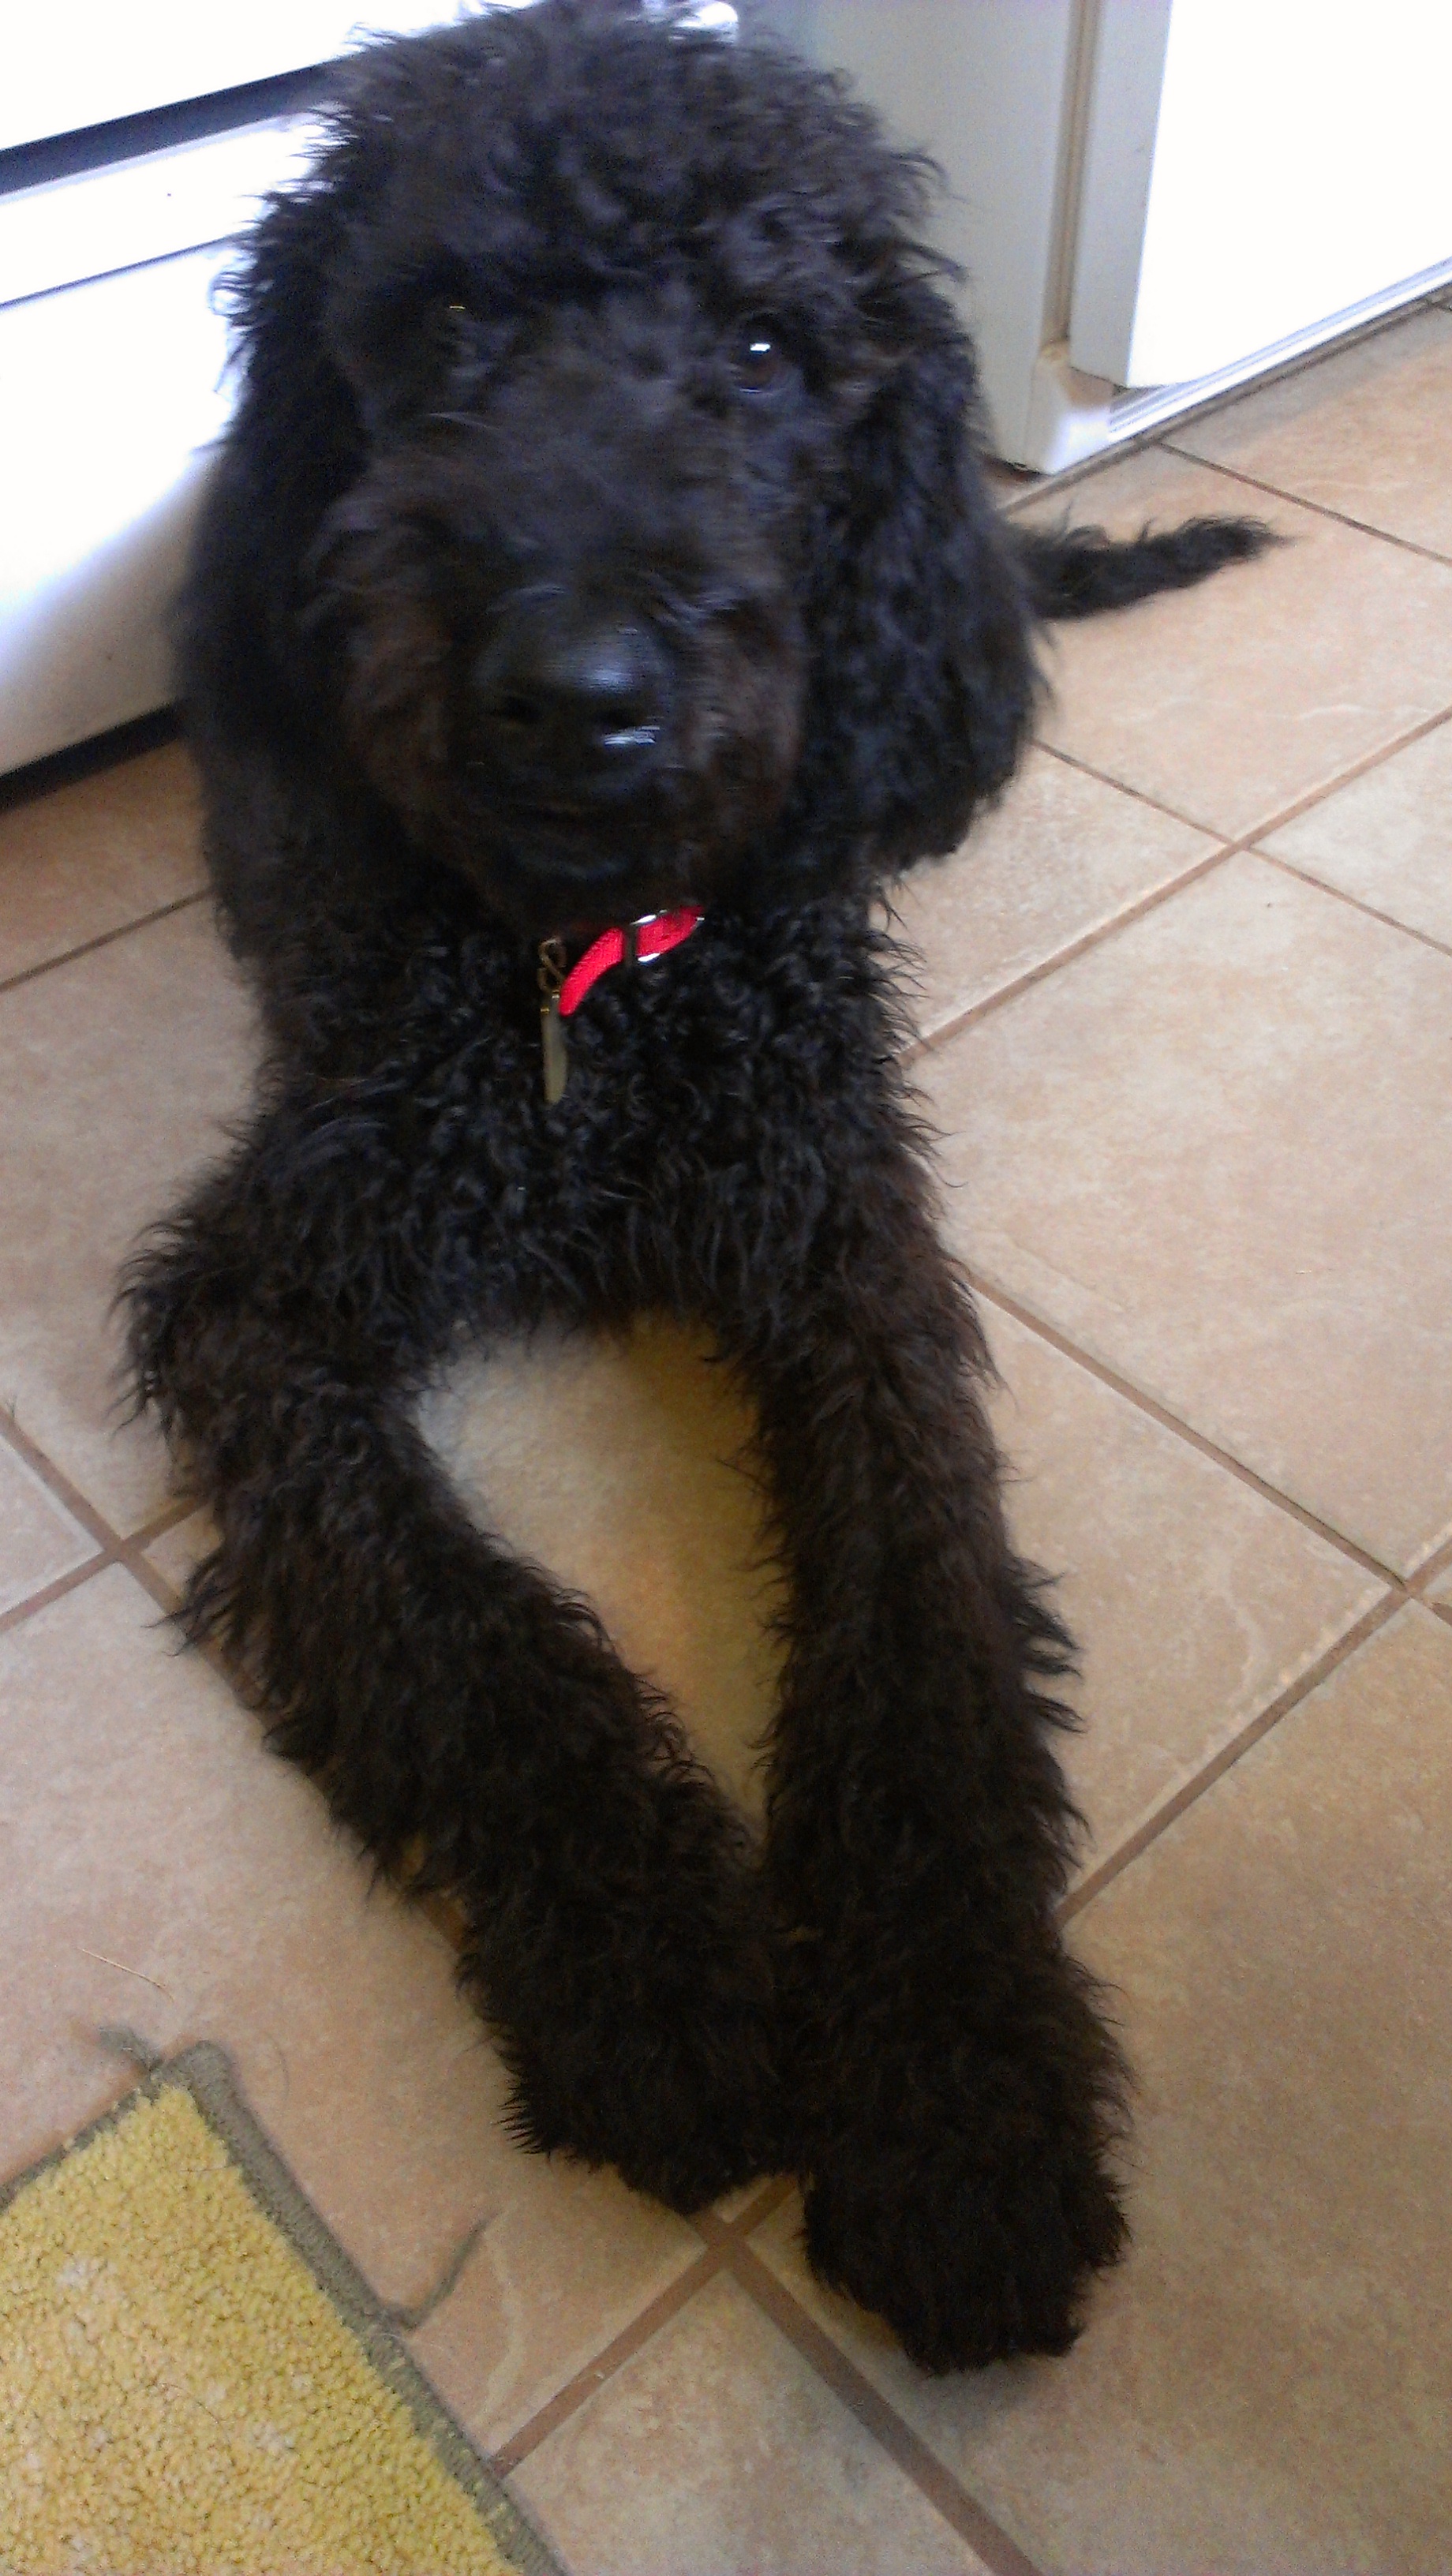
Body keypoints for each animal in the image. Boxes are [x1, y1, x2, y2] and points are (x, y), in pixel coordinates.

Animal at [123, 0, 1269, 2373]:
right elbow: (461, 1629)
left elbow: (923, 1640)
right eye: (444, 325)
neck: (592, 994)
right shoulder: (270, 1303)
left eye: (762, 346)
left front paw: (957, 2101)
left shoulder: (842, 1256)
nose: (580, 695)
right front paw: (654, 1976)